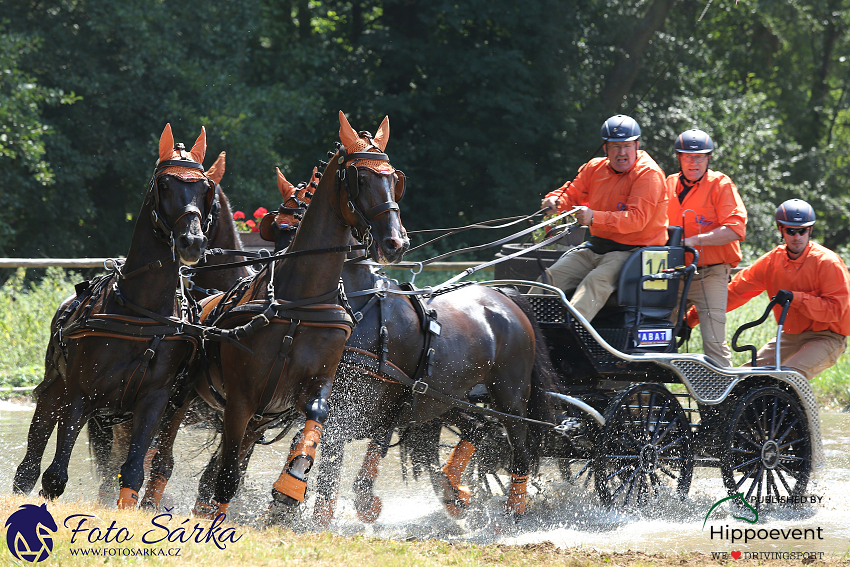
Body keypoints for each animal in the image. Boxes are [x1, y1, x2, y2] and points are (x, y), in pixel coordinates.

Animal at [12, 125, 219, 510]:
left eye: (204, 188)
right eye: (164, 184)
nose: (192, 242)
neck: (140, 312)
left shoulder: (154, 399)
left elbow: (133, 472)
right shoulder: (80, 393)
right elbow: (55, 475)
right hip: (55, 393)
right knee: (31, 462)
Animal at [141, 111, 406, 520]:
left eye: (393, 179)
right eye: (360, 179)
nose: (395, 242)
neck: (300, 303)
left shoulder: (310, 388)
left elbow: (315, 419)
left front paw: (292, 483)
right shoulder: (240, 399)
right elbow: (226, 476)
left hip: (258, 418)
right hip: (185, 396)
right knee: (165, 457)